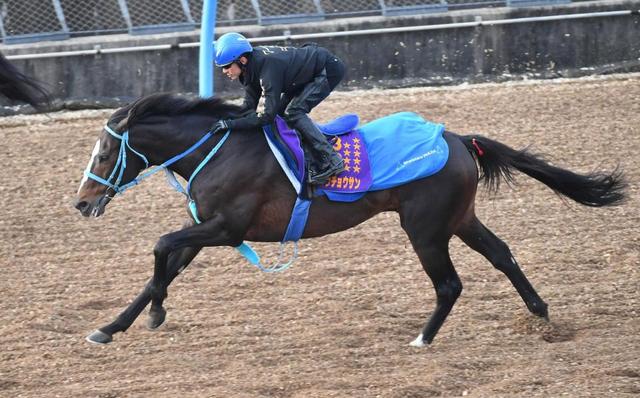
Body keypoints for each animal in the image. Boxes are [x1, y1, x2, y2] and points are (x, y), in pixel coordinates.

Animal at [74, 93, 624, 346]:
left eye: (103, 153)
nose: (81, 203)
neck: (220, 149)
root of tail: (458, 138)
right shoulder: (208, 229)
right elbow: (160, 268)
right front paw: (115, 325)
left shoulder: (226, 230)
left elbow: (161, 246)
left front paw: (154, 314)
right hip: (460, 218)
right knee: (503, 255)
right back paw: (541, 313)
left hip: (425, 228)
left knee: (449, 284)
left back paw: (423, 338)